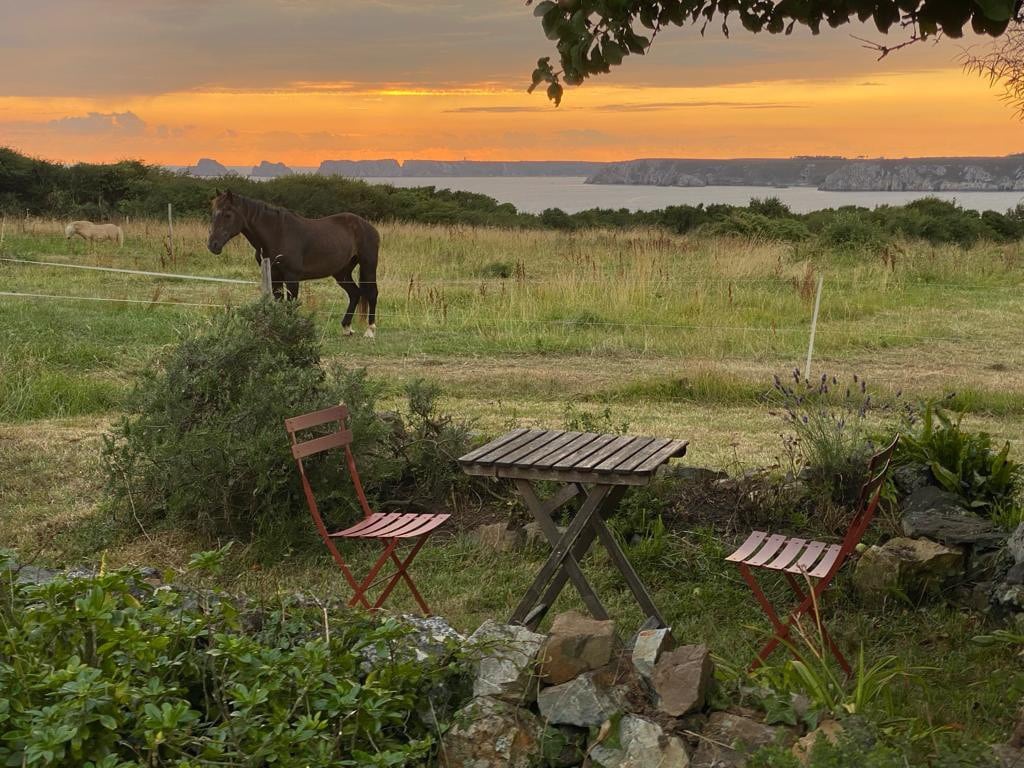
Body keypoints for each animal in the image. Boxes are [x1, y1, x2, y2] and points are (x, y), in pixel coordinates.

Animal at [206, 190, 380, 335]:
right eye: (213, 213)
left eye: (228, 214)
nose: (213, 245)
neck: (277, 234)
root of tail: (367, 226)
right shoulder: (275, 277)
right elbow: (279, 303)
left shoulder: (292, 277)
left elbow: (290, 305)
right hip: (342, 272)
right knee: (355, 293)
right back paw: (346, 328)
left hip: (368, 266)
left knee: (372, 293)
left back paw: (370, 330)